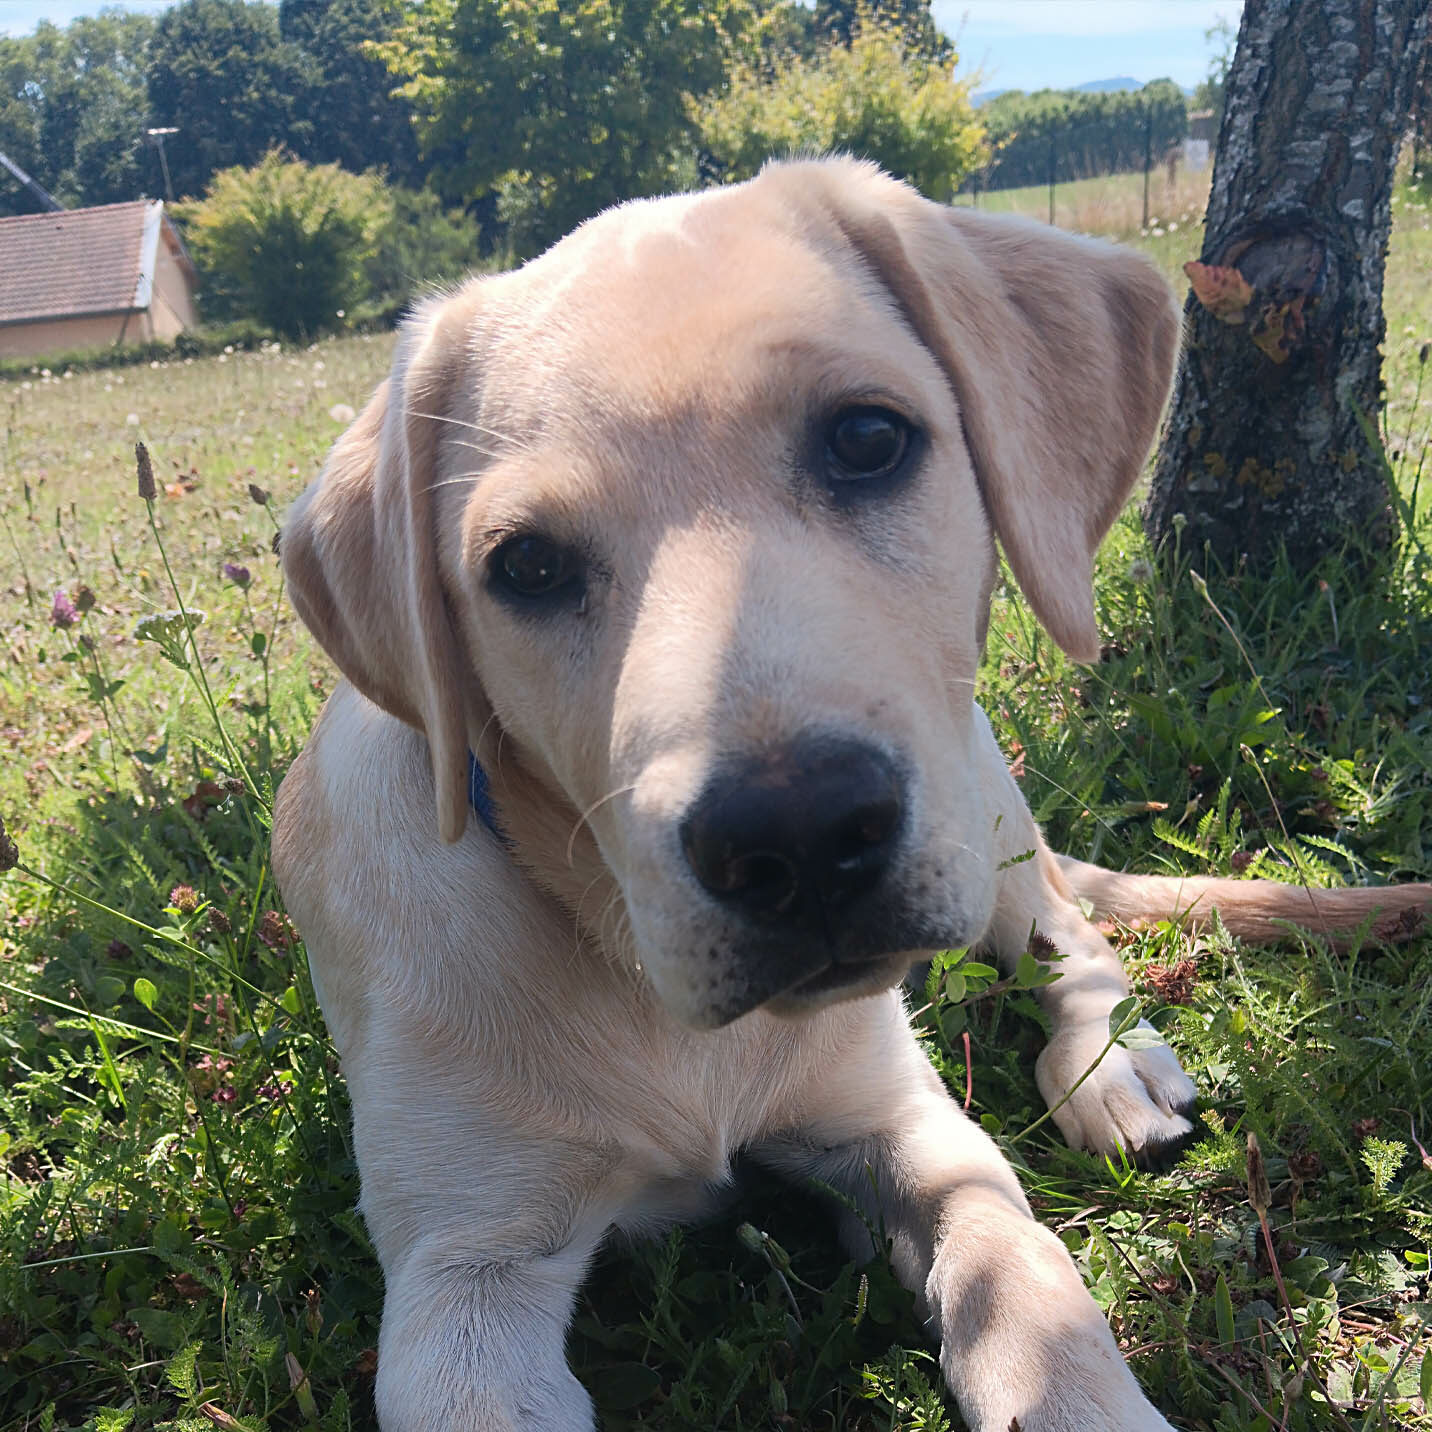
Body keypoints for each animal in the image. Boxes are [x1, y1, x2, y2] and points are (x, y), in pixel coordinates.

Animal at [270, 159, 1432, 1432]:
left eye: (868, 438)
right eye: (523, 565)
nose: (798, 838)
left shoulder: (915, 1133)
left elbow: (1029, 1288)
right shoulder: (463, 1275)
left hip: (983, 804)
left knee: (1069, 936)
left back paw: (1107, 1062)